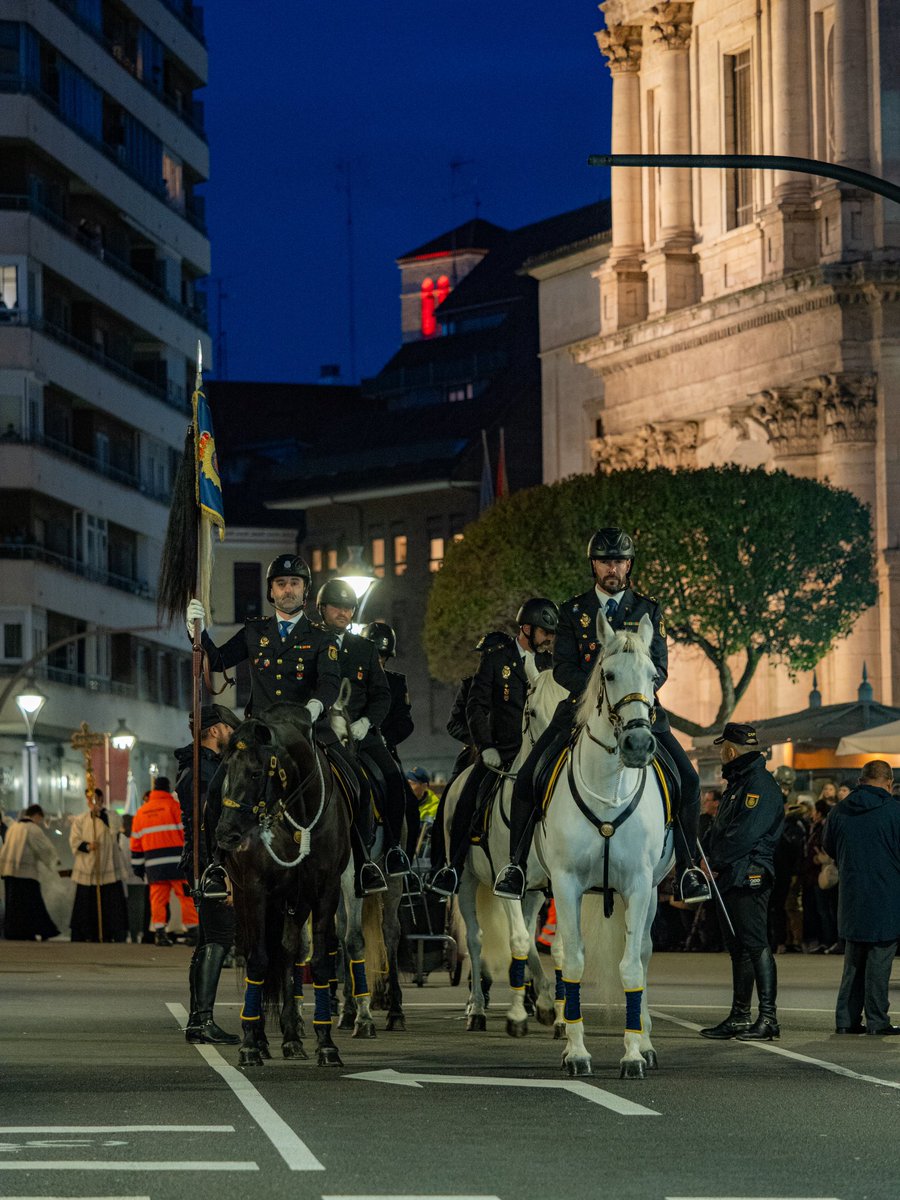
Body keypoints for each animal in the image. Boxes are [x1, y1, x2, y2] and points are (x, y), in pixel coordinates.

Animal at [441, 667, 566, 1032]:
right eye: (532, 712)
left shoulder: (546, 887)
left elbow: (550, 946)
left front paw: (553, 1010)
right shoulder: (505, 881)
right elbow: (519, 939)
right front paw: (520, 1014)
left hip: (529, 892)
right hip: (467, 882)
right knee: (475, 938)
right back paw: (477, 1009)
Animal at [511, 609, 672, 1080]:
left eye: (654, 676)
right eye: (609, 674)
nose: (639, 743)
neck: (609, 787)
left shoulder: (638, 884)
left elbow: (632, 965)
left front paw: (633, 1053)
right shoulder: (566, 885)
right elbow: (574, 962)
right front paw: (576, 1051)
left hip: (651, 891)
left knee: (643, 951)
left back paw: (647, 1041)